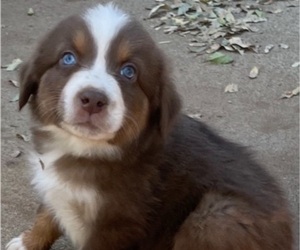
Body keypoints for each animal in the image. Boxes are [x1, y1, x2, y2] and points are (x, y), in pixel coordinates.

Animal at [6, 2, 292, 250]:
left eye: (129, 72)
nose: (93, 99)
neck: (83, 149)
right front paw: (27, 242)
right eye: (68, 58)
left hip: (216, 216)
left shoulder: (118, 222)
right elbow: (46, 212)